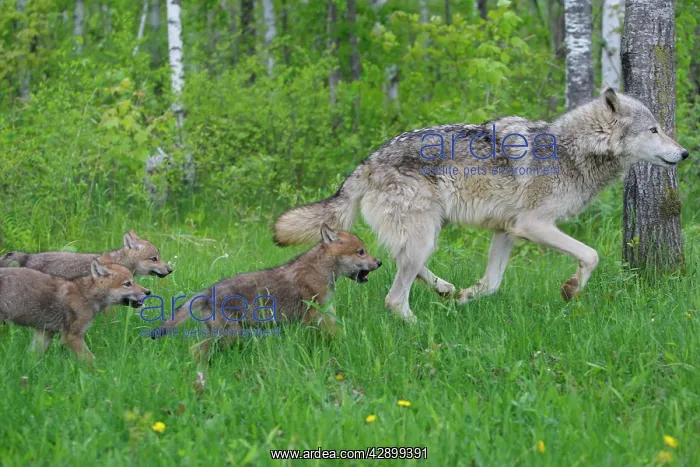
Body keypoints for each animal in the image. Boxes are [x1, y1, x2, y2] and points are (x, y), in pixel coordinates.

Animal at [0, 258, 150, 361]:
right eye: (128, 284)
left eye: (132, 281)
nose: (148, 292)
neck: (86, 296)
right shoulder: (71, 337)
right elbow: (92, 362)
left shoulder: (44, 333)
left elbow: (32, 358)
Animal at [153, 225, 381, 358]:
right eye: (361, 251)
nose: (379, 262)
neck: (321, 268)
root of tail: (207, 292)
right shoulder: (316, 315)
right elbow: (335, 335)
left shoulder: (325, 312)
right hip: (228, 335)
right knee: (197, 350)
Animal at [274, 87, 690, 323]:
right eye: (654, 130)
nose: (685, 153)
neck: (574, 151)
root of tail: (368, 160)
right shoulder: (534, 226)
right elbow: (590, 255)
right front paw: (571, 289)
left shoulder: (506, 231)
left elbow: (491, 284)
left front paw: (465, 297)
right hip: (426, 235)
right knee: (394, 298)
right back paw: (420, 329)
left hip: (428, 232)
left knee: (396, 260)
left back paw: (445, 289)